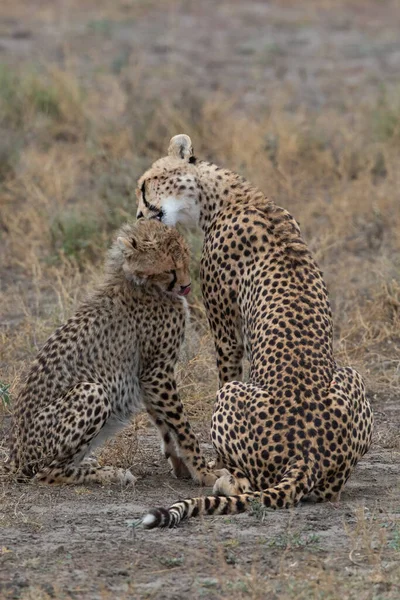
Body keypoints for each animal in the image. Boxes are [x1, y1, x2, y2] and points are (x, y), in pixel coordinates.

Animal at [5, 220, 216, 488]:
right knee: (47, 473)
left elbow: (165, 424)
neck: (139, 282)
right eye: (170, 269)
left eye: (186, 260)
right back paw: (111, 473)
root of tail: (15, 455)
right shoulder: (157, 371)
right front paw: (205, 473)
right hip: (91, 391)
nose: (186, 286)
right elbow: (181, 426)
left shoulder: (146, 374)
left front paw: (182, 467)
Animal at [134, 132, 372, 524]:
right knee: (328, 491)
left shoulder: (225, 331)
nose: (139, 215)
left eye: (144, 186)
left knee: (250, 485)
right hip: (353, 377)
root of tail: (307, 455)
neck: (230, 195)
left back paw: (225, 480)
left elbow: (226, 367)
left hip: (231, 399)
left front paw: (213, 465)